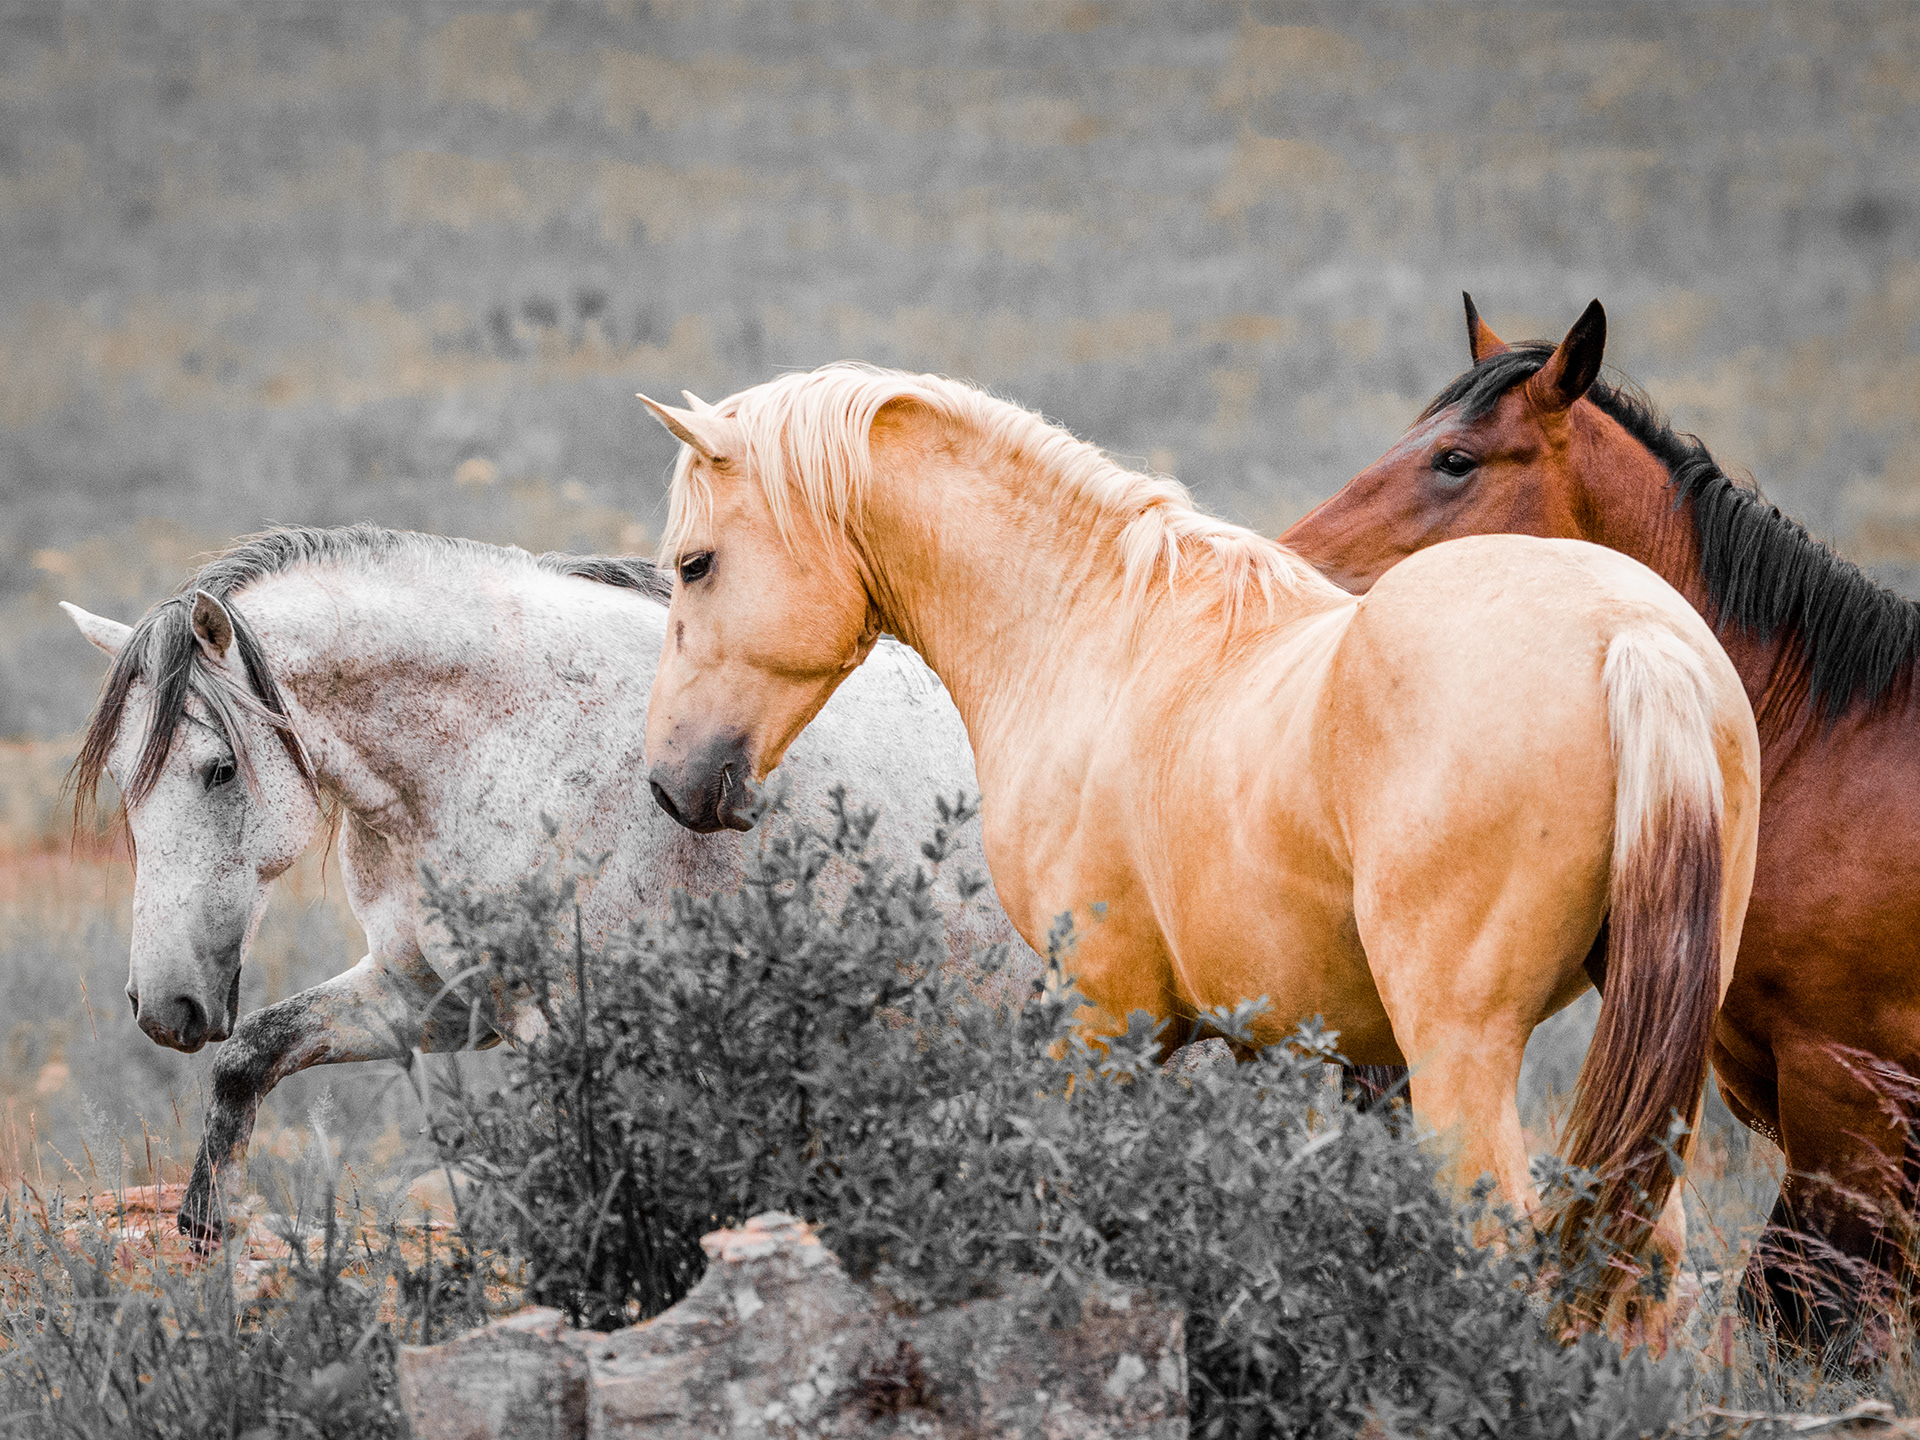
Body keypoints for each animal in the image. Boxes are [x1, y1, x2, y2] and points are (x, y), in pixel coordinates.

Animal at [64, 524, 1025, 1241]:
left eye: (219, 770)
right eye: (120, 780)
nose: (165, 1008)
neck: (514, 740)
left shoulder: (571, 1025)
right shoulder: (430, 997)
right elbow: (251, 1056)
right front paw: (203, 1228)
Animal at [631, 363, 1760, 1347]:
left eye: (695, 565)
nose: (671, 781)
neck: (1095, 633)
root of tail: (1632, 637)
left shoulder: (1102, 1015)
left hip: (1464, 1054)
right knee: (1643, 1263)